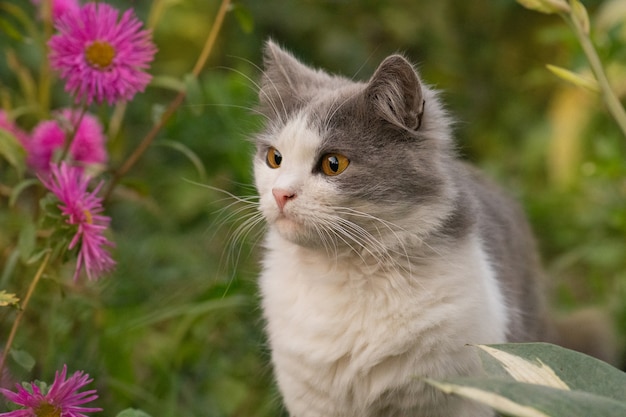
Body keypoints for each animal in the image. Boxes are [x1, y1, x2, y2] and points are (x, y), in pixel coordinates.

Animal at [249, 41, 596, 416]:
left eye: (333, 164)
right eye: (274, 158)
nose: (280, 193)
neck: (343, 272)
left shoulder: (466, 391)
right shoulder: (311, 399)